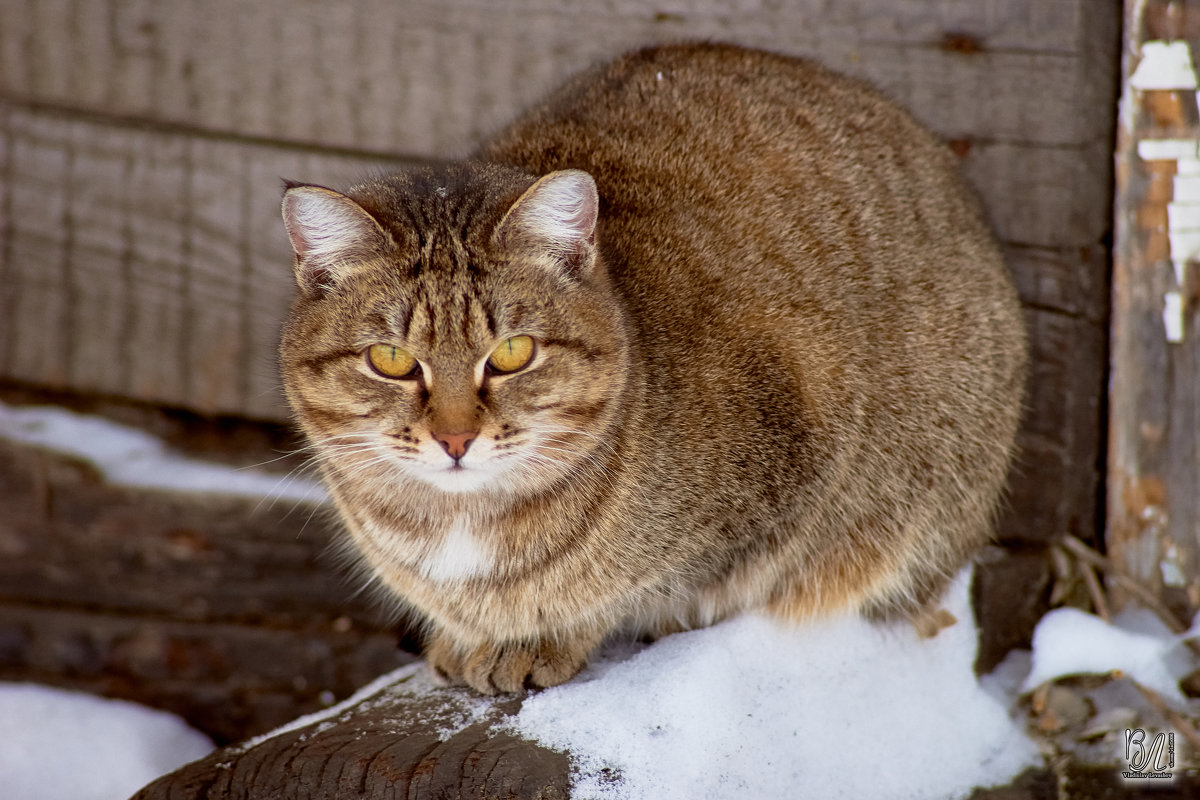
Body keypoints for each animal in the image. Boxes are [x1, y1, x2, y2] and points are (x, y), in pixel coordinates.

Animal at [276, 42, 1027, 695]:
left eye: (514, 353)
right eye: (392, 360)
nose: (455, 438)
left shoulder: (790, 469)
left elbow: (646, 590)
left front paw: (538, 641)